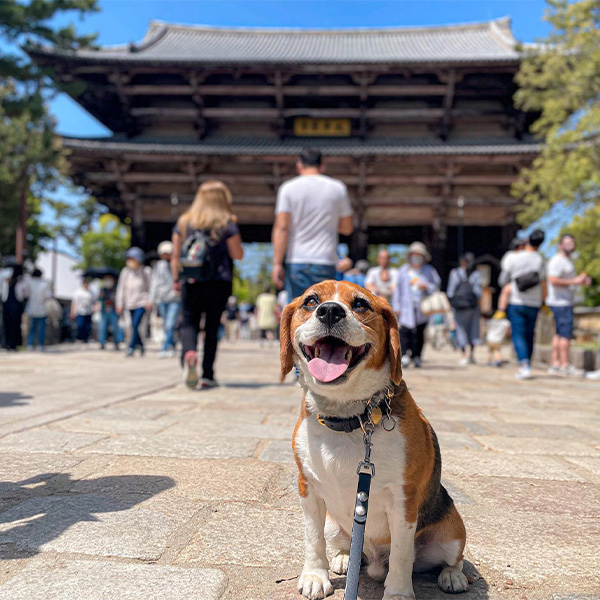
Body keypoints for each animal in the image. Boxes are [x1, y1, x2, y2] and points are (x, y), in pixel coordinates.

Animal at [282, 282, 468, 600]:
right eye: (311, 301)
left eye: (360, 304)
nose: (329, 311)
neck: (350, 418)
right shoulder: (308, 490)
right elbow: (313, 539)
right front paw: (315, 576)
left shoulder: (403, 501)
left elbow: (402, 555)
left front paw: (398, 593)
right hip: (334, 525)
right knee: (344, 544)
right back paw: (345, 557)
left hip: (453, 532)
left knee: (451, 559)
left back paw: (453, 576)